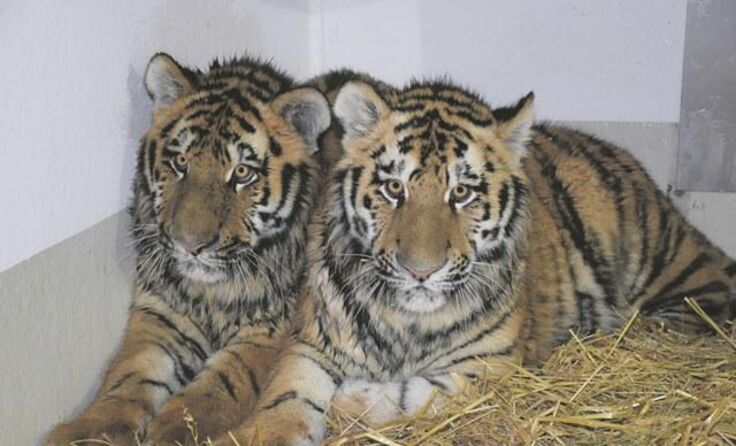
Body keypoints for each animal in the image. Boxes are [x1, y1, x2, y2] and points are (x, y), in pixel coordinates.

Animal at [44, 53, 330, 446]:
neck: (207, 294)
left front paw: (174, 430)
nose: (189, 245)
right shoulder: (160, 317)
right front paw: (88, 431)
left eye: (242, 173)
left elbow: (222, 381)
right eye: (181, 163)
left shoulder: (269, 330)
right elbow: (130, 375)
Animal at [209, 71, 736, 446]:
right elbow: (286, 398)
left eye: (461, 193)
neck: (405, 321)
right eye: (393, 187)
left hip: (673, 274)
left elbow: (411, 397)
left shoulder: (487, 368)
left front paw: (352, 400)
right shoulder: (312, 346)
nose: (420, 271)